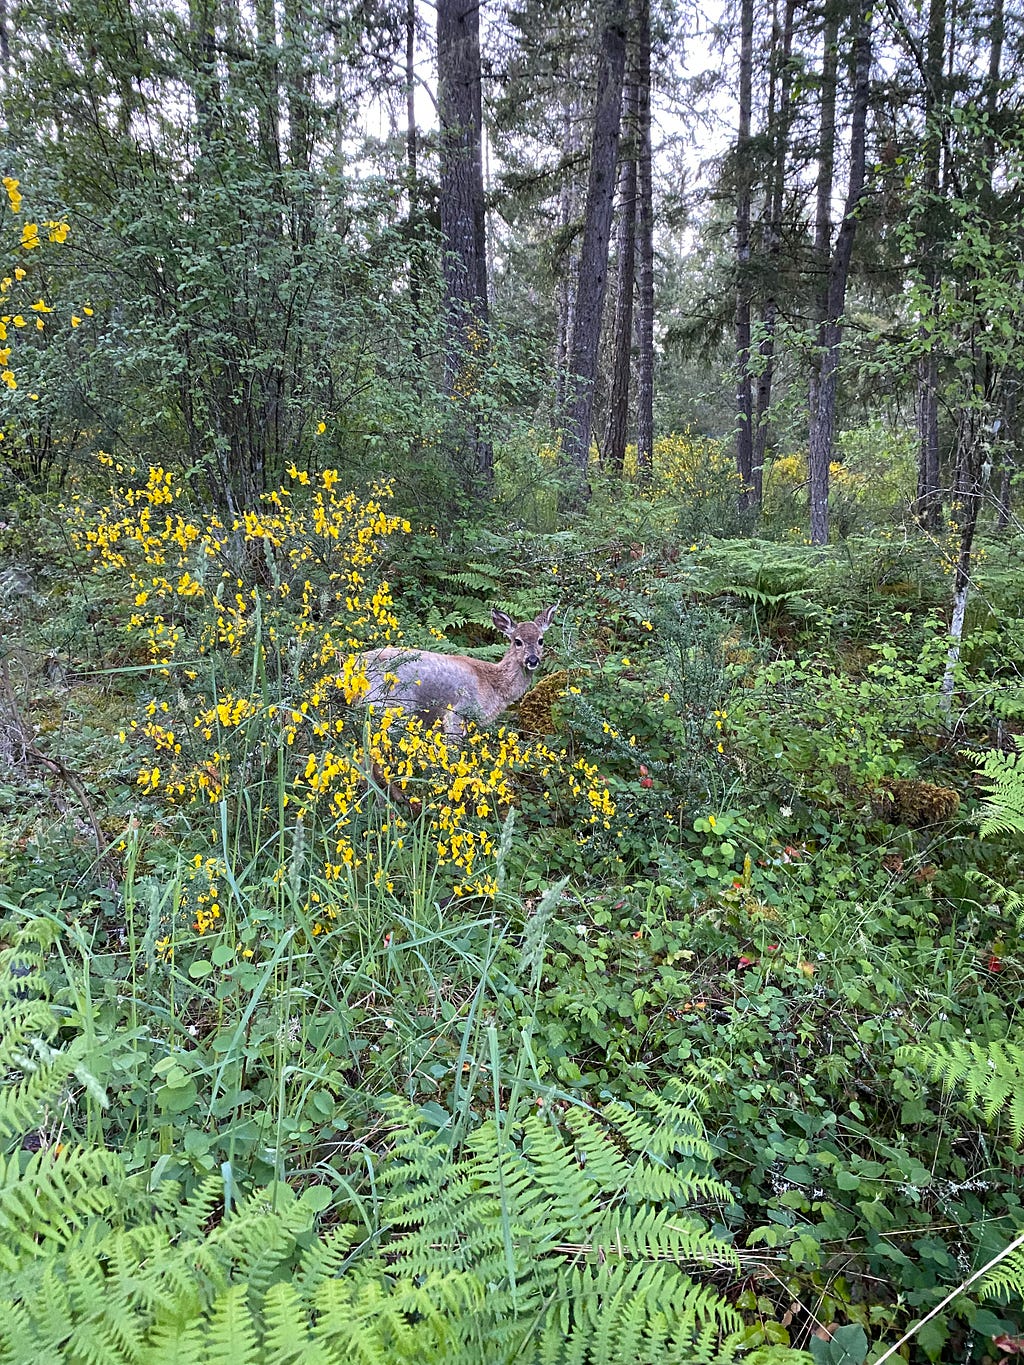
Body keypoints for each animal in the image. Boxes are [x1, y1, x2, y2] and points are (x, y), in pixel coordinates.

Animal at [354, 606, 562, 737]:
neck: (493, 684)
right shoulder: (458, 712)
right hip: (391, 705)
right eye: (517, 641)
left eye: (541, 640)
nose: (532, 660)